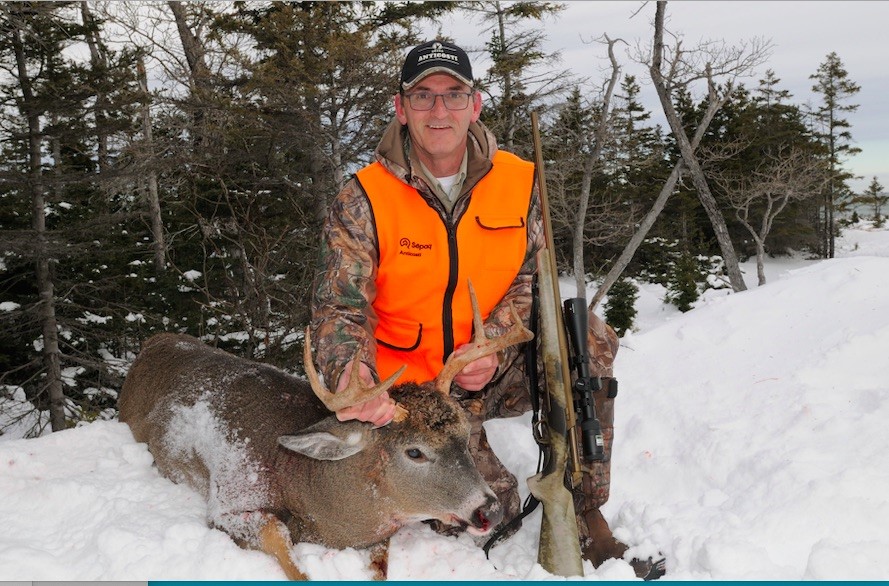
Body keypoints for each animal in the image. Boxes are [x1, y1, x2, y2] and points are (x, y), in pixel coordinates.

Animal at [118, 280, 536, 576]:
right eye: (414, 452)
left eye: (466, 438)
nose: (489, 510)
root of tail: (152, 343)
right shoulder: (230, 499)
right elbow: (288, 552)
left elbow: (381, 565)